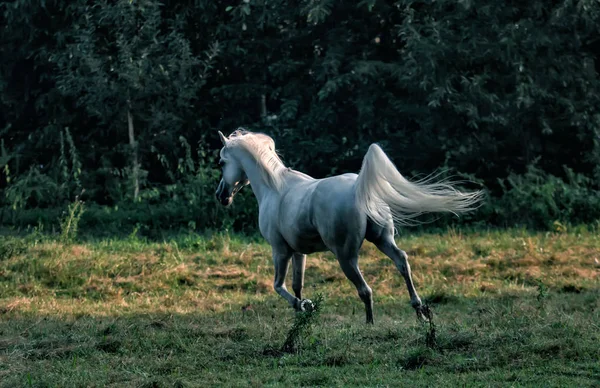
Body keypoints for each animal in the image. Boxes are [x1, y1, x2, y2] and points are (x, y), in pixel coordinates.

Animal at [216, 129, 482, 322]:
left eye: (221, 162)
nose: (221, 196)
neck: (275, 188)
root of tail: (358, 189)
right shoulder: (299, 252)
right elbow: (297, 285)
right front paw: (301, 316)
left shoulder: (280, 250)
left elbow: (279, 286)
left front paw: (305, 307)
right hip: (382, 240)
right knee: (401, 261)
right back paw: (419, 311)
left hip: (345, 256)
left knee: (366, 290)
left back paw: (370, 325)